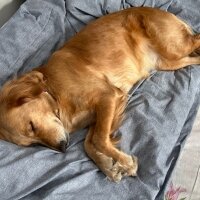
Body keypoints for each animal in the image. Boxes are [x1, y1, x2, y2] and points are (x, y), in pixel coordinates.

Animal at [0, 7, 200, 182]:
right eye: (33, 144)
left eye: (31, 126)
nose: (63, 147)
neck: (54, 90)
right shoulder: (99, 114)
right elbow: (89, 144)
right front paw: (109, 166)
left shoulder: (107, 96)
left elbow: (98, 140)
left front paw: (125, 162)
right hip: (168, 62)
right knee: (193, 57)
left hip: (172, 47)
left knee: (196, 38)